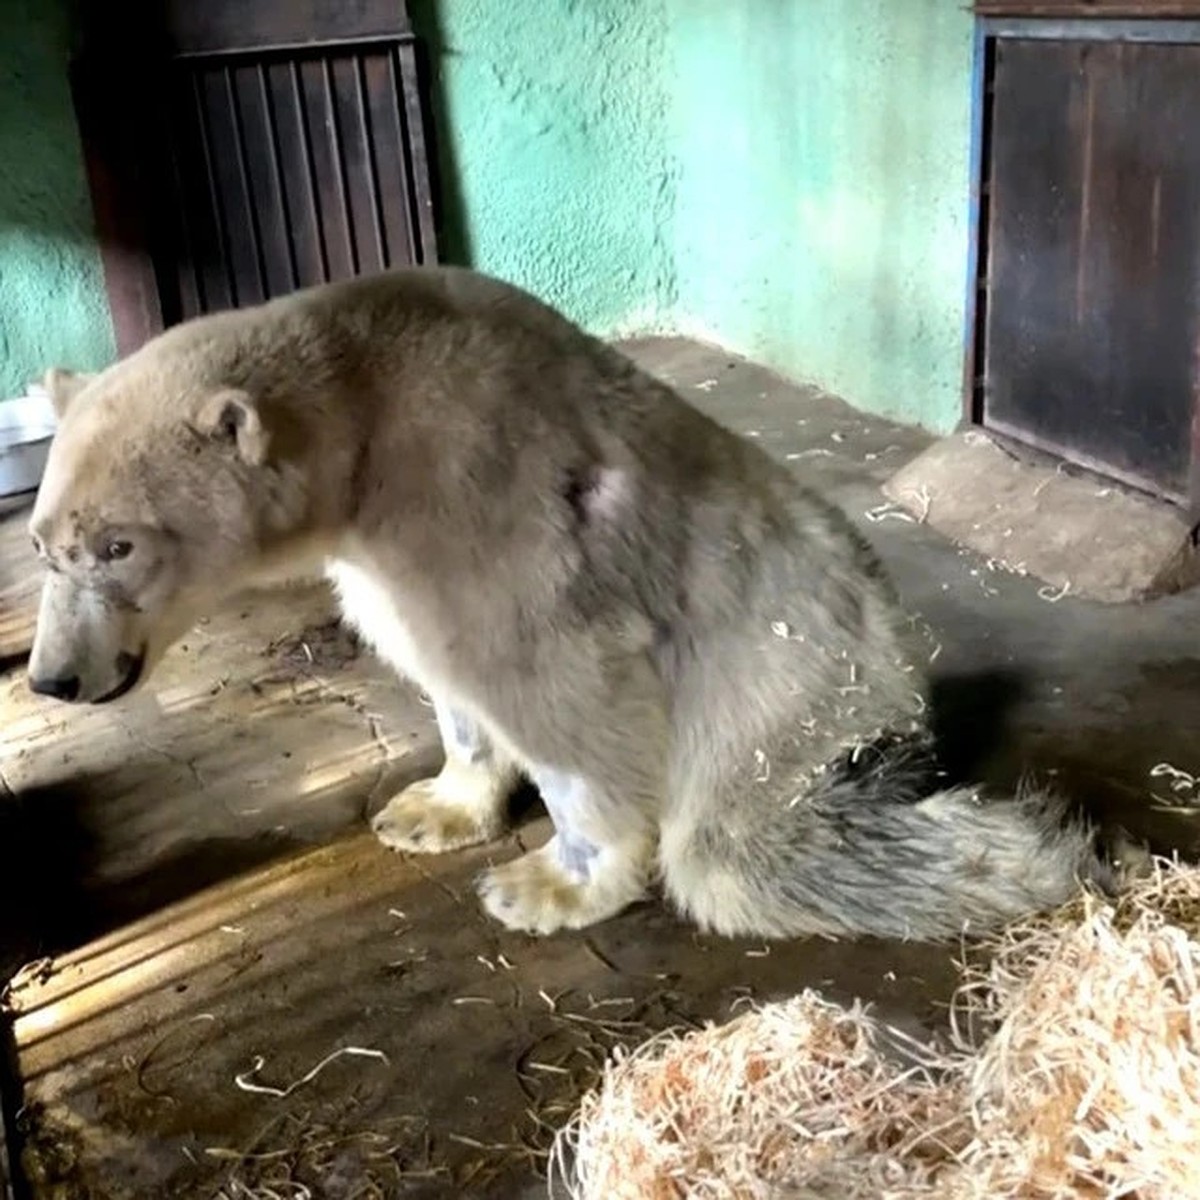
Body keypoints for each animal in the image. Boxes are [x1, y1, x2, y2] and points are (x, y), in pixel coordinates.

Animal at [25, 267, 1104, 940]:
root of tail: (897, 688)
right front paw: (429, 809)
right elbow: (442, 671)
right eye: (42, 546)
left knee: (741, 849)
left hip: (785, 685)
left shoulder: (477, 494)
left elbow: (552, 685)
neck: (365, 417)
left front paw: (545, 884)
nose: (55, 679)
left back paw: (1028, 854)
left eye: (119, 546)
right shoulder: (382, 556)